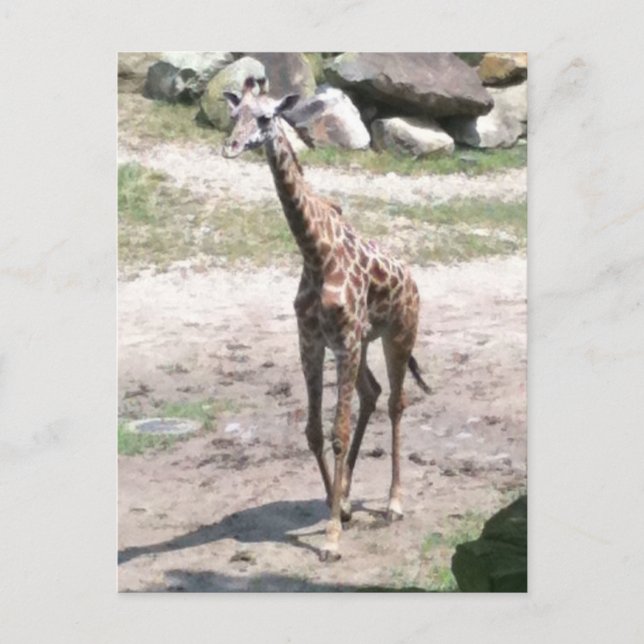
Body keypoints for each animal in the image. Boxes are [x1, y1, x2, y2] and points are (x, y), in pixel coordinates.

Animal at [222, 78, 430, 561]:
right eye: (233, 114)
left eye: (265, 117)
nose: (231, 147)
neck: (315, 253)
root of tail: (412, 280)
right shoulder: (313, 342)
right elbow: (315, 431)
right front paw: (340, 506)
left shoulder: (346, 341)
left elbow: (338, 431)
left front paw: (333, 537)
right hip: (362, 343)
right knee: (373, 394)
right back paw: (351, 495)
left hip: (398, 334)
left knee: (395, 403)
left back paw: (393, 503)